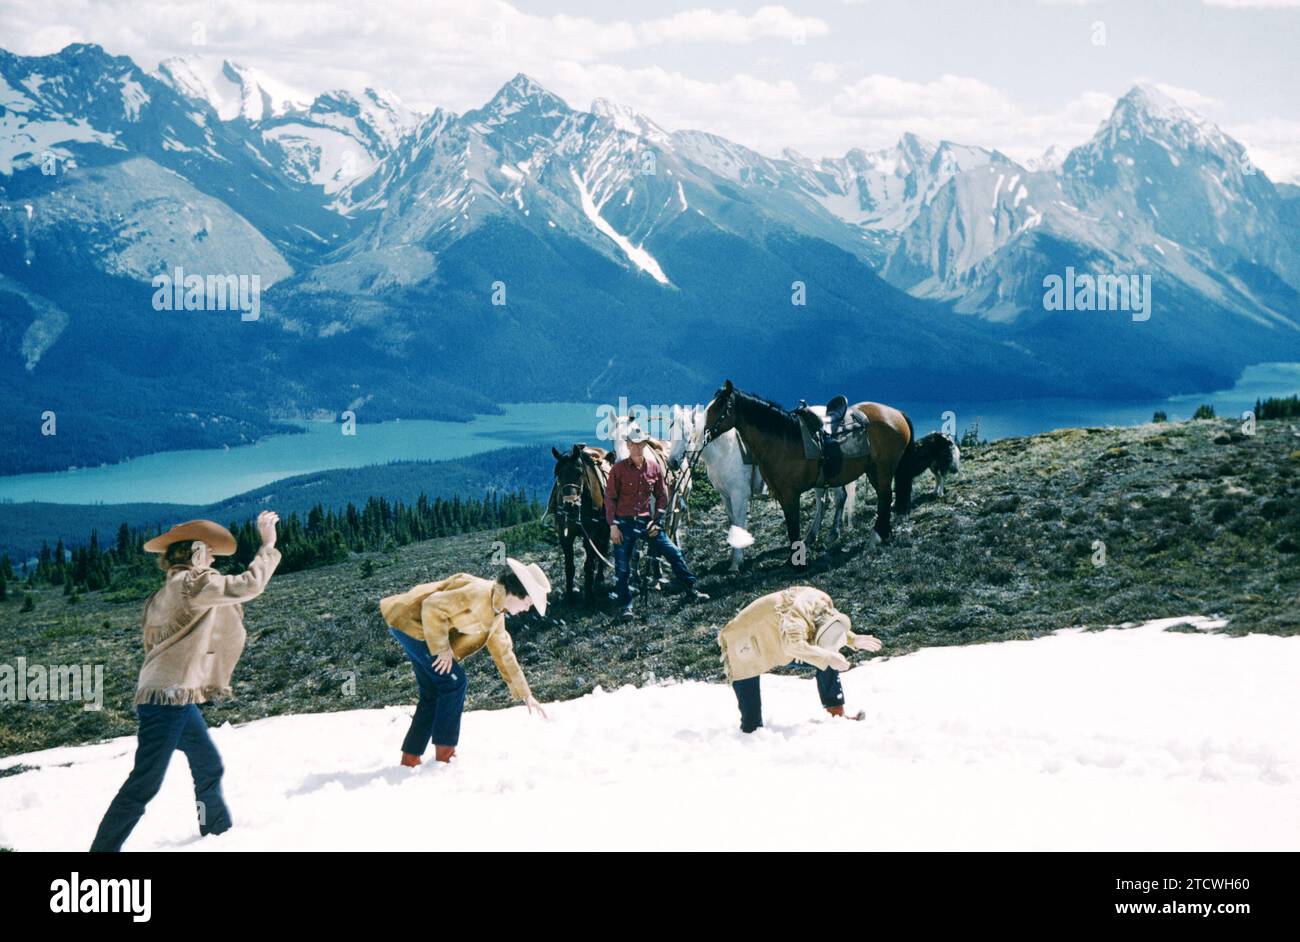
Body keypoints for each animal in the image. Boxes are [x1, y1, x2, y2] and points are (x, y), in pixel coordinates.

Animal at [546, 441, 611, 602]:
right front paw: (569, 596)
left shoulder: (591, 534)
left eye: (579, 472)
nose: (570, 506)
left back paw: (599, 579)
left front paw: (589, 597)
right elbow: (569, 566)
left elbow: (588, 565)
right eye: (558, 474)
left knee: (602, 551)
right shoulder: (565, 535)